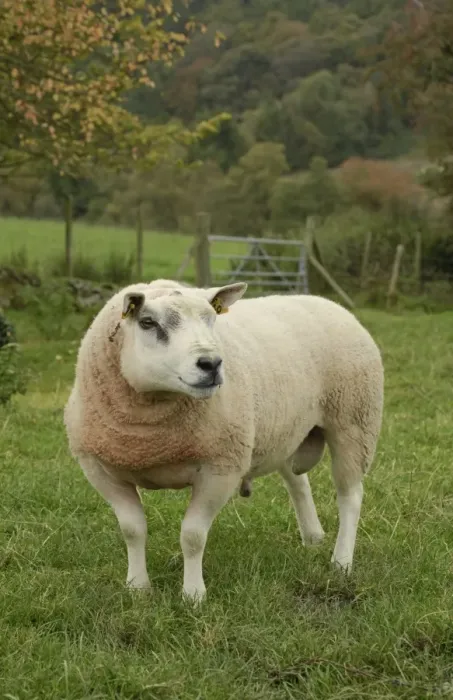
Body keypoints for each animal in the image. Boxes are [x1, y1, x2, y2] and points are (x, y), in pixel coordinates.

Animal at [64, 278, 384, 602]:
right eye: (147, 322)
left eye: (211, 319)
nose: (212, 363)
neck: (151, 439)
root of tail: (328, 302)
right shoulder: (100, 470)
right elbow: (132, 530)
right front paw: (137, 587)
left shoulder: (221, 467)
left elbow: (192, 536)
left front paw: (193, 595)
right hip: (286, 431)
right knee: (298, 482)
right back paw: (313, 537)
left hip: (354, 422)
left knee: (350, 496)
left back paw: (341, 562)